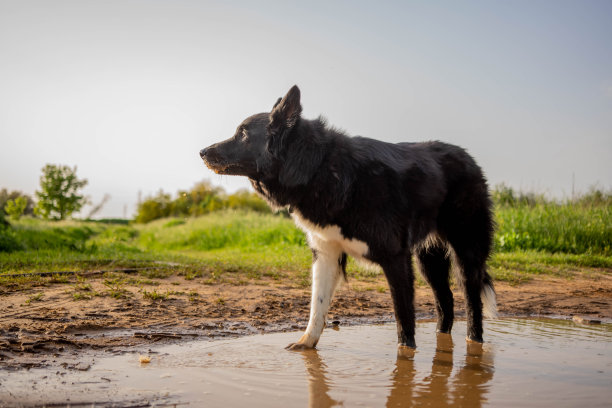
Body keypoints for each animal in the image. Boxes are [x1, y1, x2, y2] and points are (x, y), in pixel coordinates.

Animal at [201, 86, 498, 350]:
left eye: (242, 134)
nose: (202, 152)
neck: (319, 167)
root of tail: (469, 159)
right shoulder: (326, 254)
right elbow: (317, 307)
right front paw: (305, 345)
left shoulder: (396, 259)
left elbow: (403, 318)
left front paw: (405, 359)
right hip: (429, 260)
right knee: (446, 301)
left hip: (466, 254)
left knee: (472, 303)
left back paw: (474, 343)